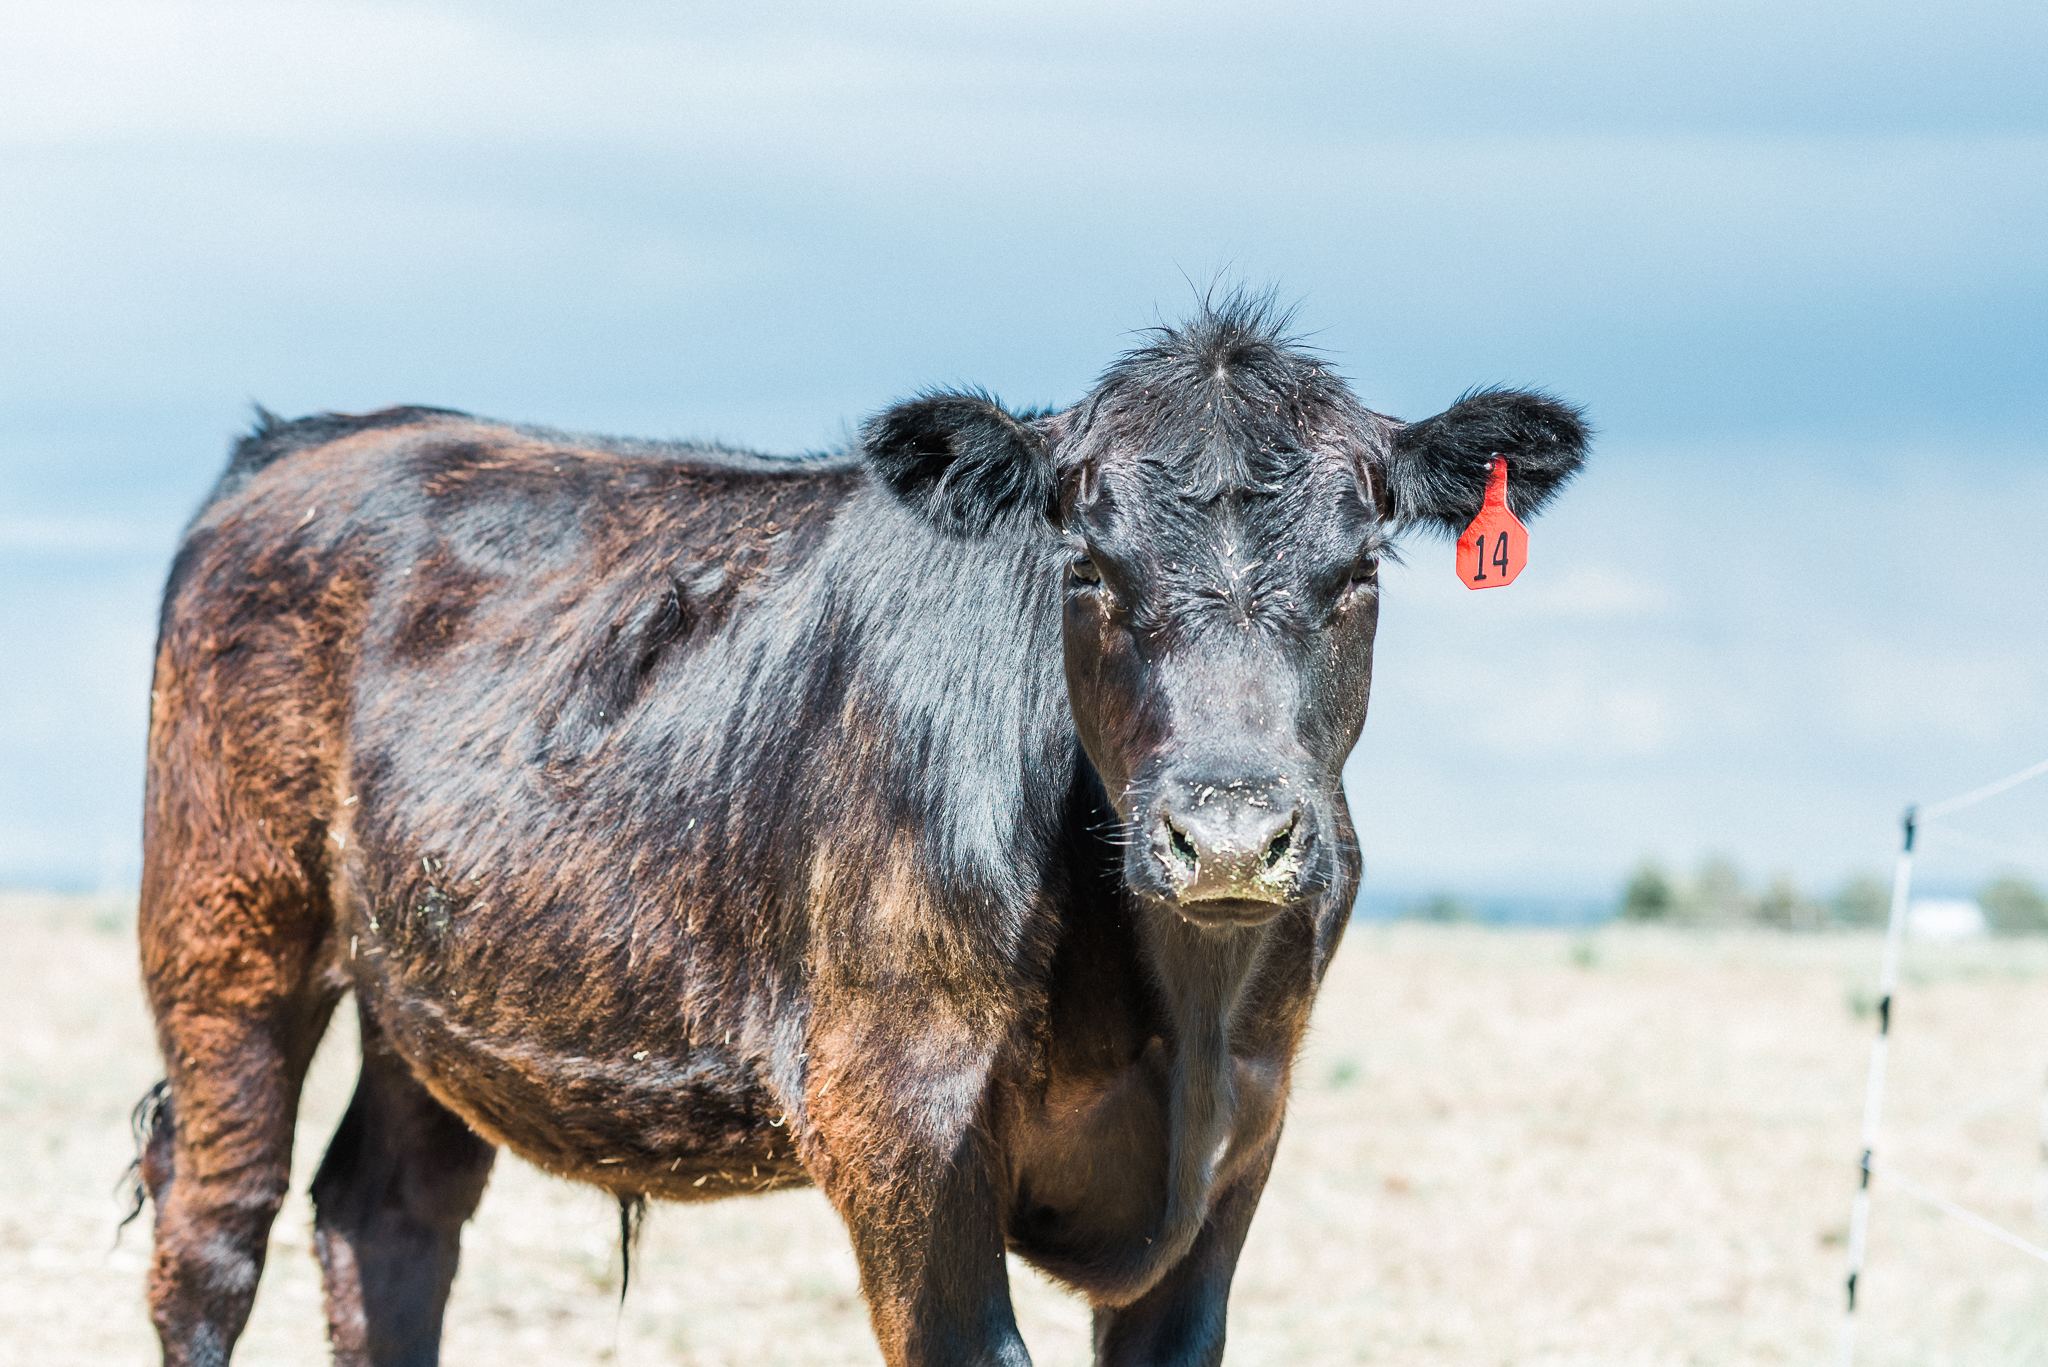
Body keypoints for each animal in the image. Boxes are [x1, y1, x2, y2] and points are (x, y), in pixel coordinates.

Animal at [136, 301, 1589, 1367]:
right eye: (1086, 564)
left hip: (438, 990)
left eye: (1358, 572)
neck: (1176, 1008)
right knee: (216, 1230)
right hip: (225, 930)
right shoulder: (897, 1115)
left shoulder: (1242, 1136)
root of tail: (325, 434)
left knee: (387, 1218)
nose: (1227, 836)